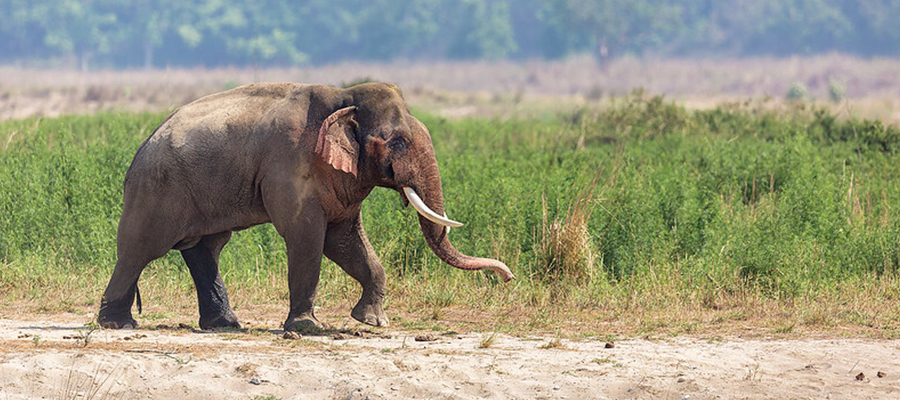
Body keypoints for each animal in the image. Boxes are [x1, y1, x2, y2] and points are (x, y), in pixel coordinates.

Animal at [98, 80, 512, 332]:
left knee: (206, 248)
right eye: (396, 142)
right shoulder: (291, 162)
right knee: (140, 249)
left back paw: (225, 324)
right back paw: (117, 324)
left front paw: (373, 322)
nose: (507, 277)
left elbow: (344, 240)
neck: (344, 97)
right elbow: (306, 236)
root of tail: (142, 146)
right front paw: (307, 327)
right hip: (157, 189)